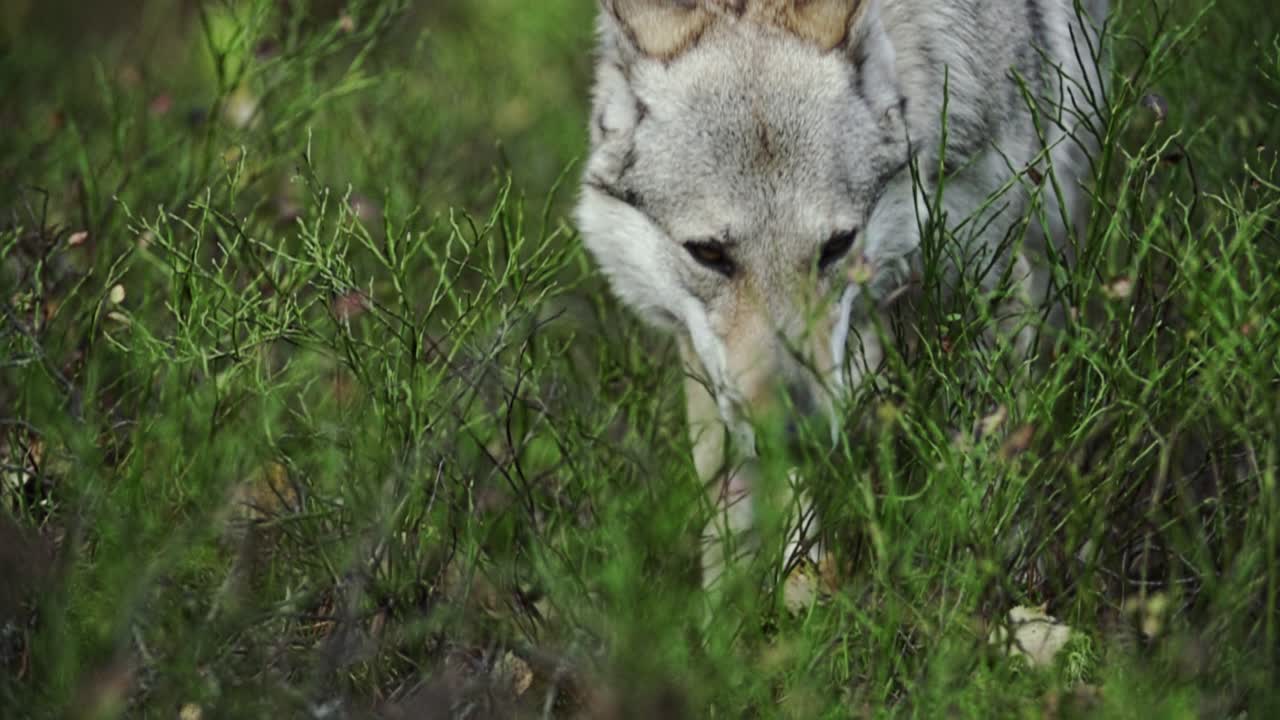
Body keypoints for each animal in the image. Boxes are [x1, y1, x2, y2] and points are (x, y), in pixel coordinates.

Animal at [574, 0, 1109, 593]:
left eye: (836, 245)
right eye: (709, 253)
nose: (795, 435)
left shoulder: (989, 275)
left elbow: (991, 454)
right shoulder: (699, 348)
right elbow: (732, 515)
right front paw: (742, 611)